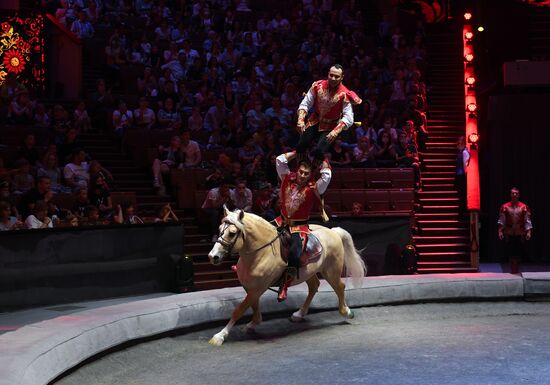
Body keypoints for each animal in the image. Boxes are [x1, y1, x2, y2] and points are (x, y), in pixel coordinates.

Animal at [207, 207, 366, 344]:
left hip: (331, 270)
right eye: (219, 230)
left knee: (340, 287)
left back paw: (346, 311)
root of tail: (333, 232)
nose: (213, 256)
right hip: (308, 272)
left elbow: (239, 310)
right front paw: (253, 323)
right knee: (314, 286)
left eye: (232, 233)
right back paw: (299, 314)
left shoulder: (258, 288)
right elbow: (253, 305)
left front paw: (220, 335)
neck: (260, 253)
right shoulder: (251, 288)